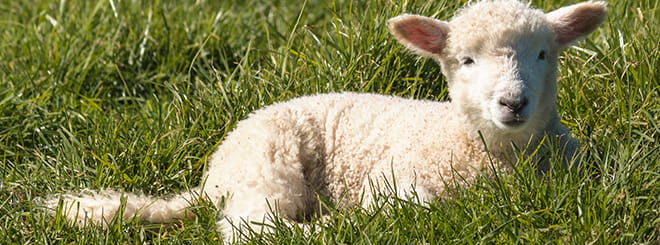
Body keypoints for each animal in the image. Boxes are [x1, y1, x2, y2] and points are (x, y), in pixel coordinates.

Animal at [42, 0, 608, 241]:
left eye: (543, 54)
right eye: (465, 60)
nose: (513, 103)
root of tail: (211, 178)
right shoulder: (394, 177)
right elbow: (414, 207)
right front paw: (367, 217)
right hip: (268, 167)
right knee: (253, 228)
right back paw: (329, 224)